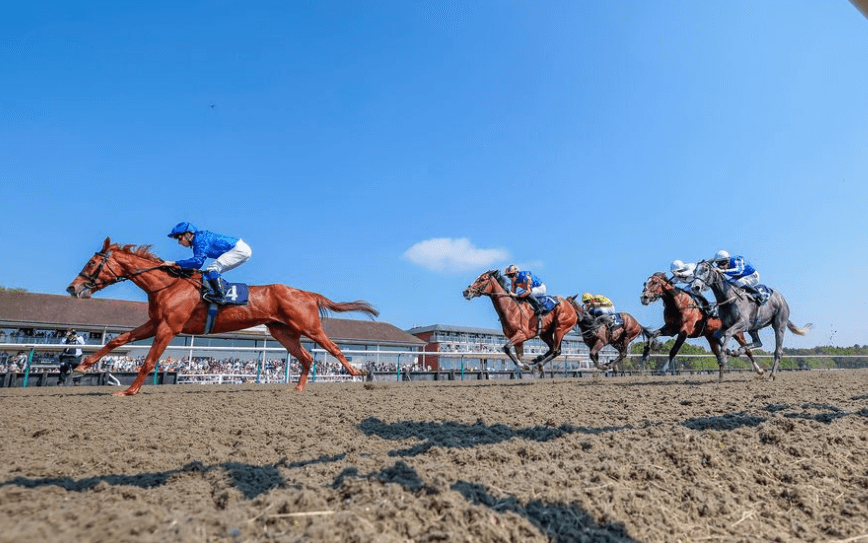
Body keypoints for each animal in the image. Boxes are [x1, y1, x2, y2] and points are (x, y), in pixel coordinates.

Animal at [66, 237, 378, 396]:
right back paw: (299, 388)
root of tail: (308, 293)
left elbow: (149, 361)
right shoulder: (154, 323)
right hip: (282, 332)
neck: (167, 285)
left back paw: (358, 374)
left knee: (333, 348)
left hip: (309, 327)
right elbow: (116, 340)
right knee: (307, 357)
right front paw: (82, 366)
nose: (73, 288)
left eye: (91, 263)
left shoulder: (169, 328)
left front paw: (129, 391)